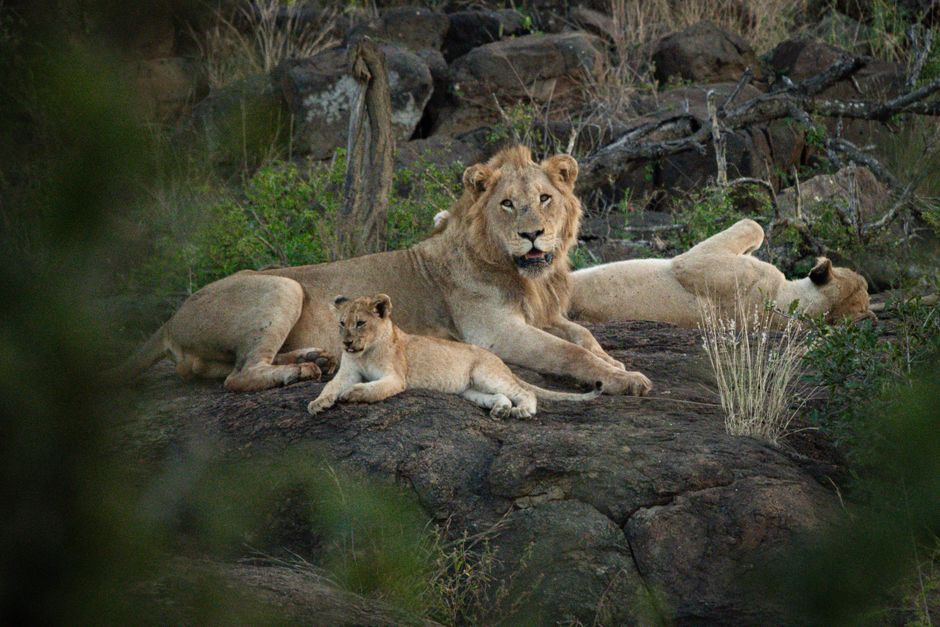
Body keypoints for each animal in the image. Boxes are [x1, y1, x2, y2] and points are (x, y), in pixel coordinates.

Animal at [117, 145, 651, 395]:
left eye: (544, 199)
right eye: (506, 204)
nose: (534, 234)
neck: (523, 275)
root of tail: (170, 319)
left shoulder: (545, 315)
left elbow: (583, 337)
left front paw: (616, 363)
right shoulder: (494, 333)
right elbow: (568, 352)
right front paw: (621, 379)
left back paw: (317, 357)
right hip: (281, 286)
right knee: (240, 375)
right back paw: (301, 371)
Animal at [307, 294, 602, 419]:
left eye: (360, 323)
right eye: (342, 323)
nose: (346, 343)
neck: (364, 352)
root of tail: (499, 360)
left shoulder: (395, 377)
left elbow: (372, 389)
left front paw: (352, 394)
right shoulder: (347, 371)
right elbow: (329, 386)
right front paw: (318, 403)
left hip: (485, 373)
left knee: (525, 392)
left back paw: (522, 411)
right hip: (469, 390)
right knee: (500, 396)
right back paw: (500, 410)